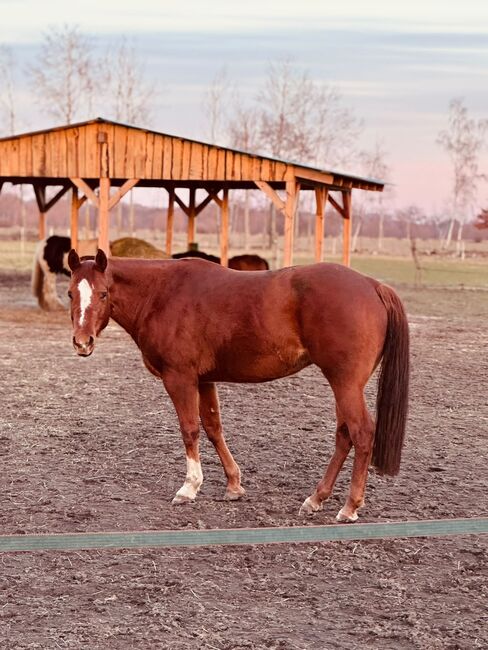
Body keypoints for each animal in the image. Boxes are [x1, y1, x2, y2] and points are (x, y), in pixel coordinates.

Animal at [67, 249, 409, 522]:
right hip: (344, 385)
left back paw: (350, 507)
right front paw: (233, 484)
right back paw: (316, 498)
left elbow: (190, 429)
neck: (162, 294)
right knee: (344, 435)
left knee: (361, 433)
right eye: (71, 293)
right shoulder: (204, 379)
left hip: (345, 384)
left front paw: (189, 488)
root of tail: (373, 286)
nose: (83, 342)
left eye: (103, 294)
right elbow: (213, 428)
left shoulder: (180, 378)